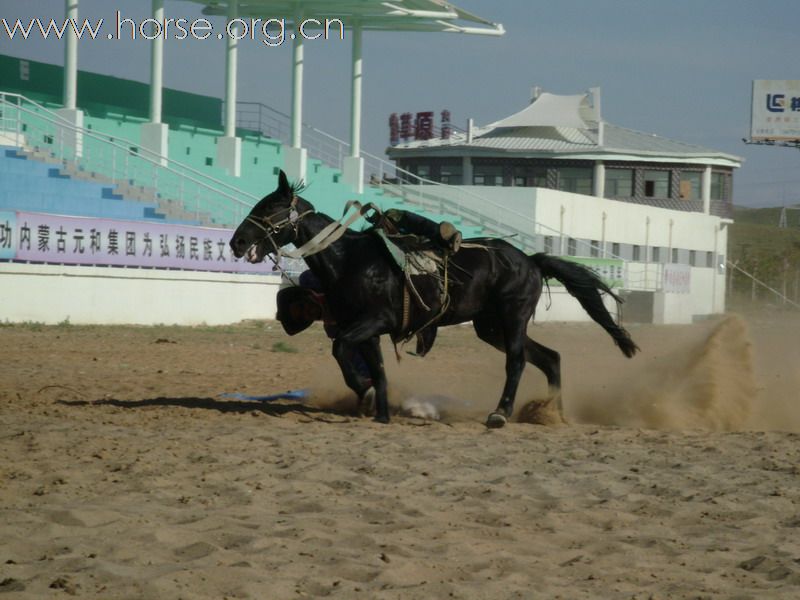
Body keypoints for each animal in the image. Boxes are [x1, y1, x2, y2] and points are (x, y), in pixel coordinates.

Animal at [230, 171, 636, 428]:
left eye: (269, 208)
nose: (236, 241)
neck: (349, 259)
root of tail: (530, 260)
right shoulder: (366, 330)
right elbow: (375, 367)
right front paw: (379, 411)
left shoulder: (374, 322)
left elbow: (342, 351)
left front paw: (364, 393)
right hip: (490, 326)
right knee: (550, 358)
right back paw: (552, 413)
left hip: (513, 316)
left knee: (518, 362)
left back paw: (501, 413)